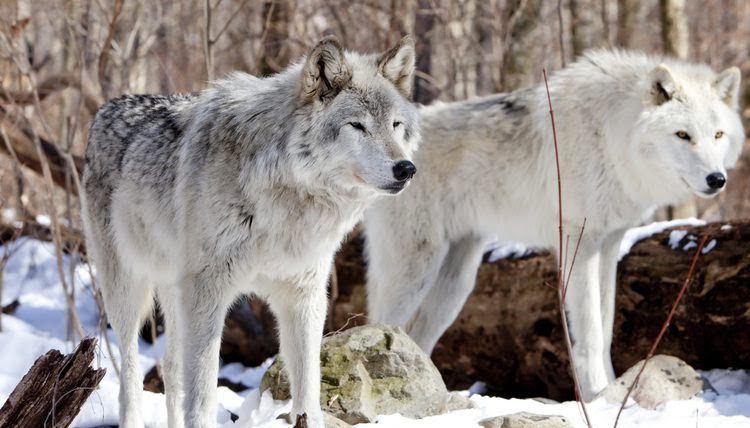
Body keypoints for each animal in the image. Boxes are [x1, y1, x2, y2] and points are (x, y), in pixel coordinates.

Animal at [81, 36, 419, 428]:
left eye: (395, 125)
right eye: (357, 126)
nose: (406, 168)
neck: (287, 196)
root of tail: (106, 108)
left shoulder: (303, 297)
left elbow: (309, 389)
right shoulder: (208, 293)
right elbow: (202, 397)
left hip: (175, 292)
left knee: (170, 367)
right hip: (128, 290)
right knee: (131, 372)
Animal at [365, 49, 744, 401]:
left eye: (718, 135)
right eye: (682, 135)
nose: (717, 179)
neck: (611, 134)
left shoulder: (609, 243)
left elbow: (605, 328)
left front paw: (611, 389)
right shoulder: (580, 241)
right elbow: (590, 333)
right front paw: (596, 395)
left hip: (456, 284)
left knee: (418, 337)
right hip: (416, 269)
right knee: (379, 324)